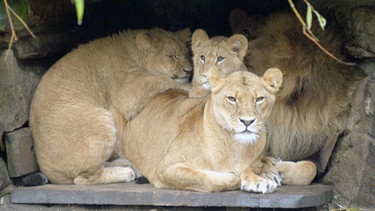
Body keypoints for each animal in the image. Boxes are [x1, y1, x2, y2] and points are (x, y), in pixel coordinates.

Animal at [29, 28, 192, 185]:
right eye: (173, 56)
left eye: (187, 54)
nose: (189, 71)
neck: (133, 52)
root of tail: (50, 173)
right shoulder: (127, 94)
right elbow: (161, 80)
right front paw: (192, 86)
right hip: (100, 119)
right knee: (84, 179)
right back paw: (127, 172)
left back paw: (130, 165)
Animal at [120, 68, 318, 193]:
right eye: (232, 99)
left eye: (259, 99)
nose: (247, 121)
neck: (236, 146)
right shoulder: (164, 169)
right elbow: (214, 178)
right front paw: (257, 177)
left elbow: (310, 168)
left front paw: (267, 174)